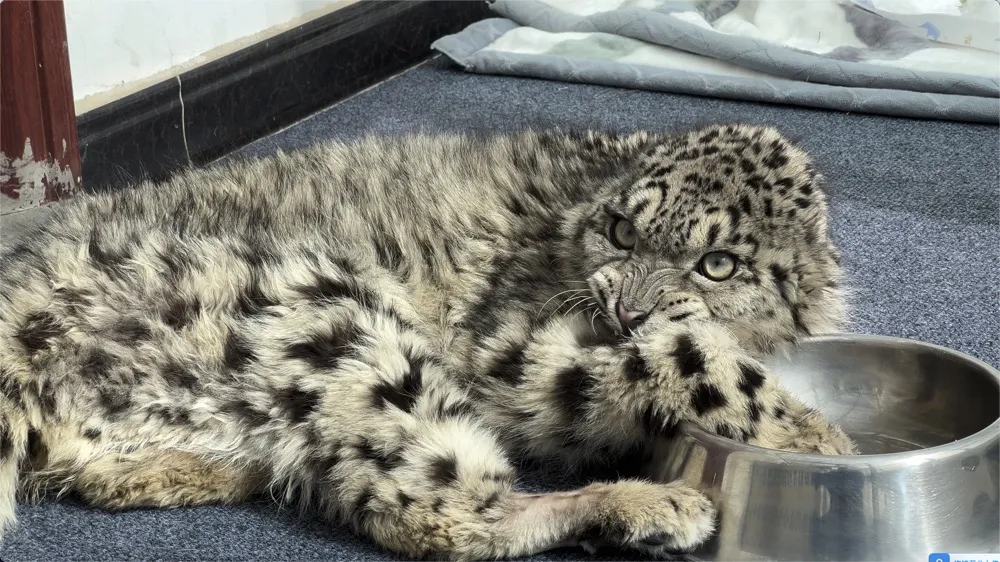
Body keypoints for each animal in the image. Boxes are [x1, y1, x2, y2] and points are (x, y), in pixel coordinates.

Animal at [0, 123, 858, 560]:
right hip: (336, 322)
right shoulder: (508, 350)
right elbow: (691, 356)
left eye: (718, 262)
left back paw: (196, 472)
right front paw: (822, 437)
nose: (625, 310)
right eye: (621, 229)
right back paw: (653, 505)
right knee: (439, 516)